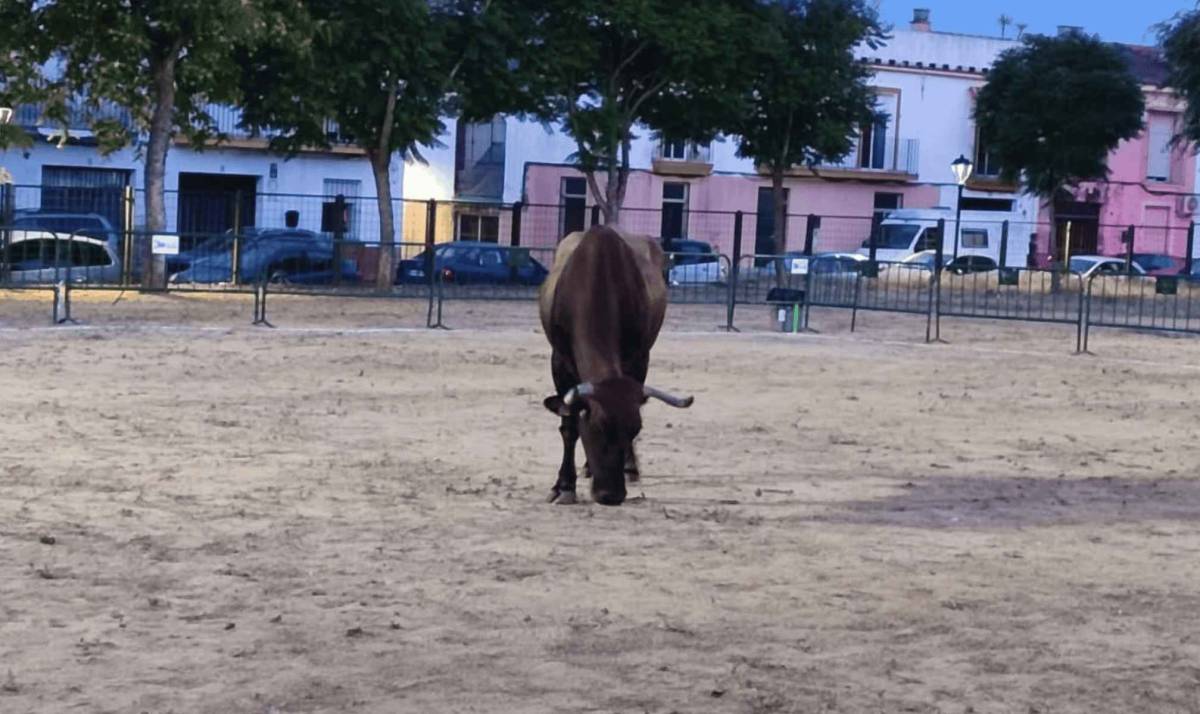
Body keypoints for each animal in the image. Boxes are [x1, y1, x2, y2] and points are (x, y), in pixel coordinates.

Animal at [539, 225, 694, 506]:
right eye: (598, 427)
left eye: (635, 429)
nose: (611, 495)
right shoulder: (559, 360)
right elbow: (569, 425)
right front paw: (564, 486)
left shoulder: (638, 357)